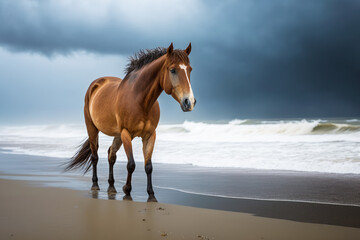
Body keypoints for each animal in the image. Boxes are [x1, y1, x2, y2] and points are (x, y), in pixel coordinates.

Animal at [66, 43, 198, 202]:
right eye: (172, 70)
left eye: (190, 69)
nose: (189, 102)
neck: (140, 100)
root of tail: (96, 84)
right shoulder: (126, 133)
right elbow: (131, 164)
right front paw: (127, 191)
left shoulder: (150, 135)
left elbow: (148, 166)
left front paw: (151, 195)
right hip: (92, 128)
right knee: (95, 156)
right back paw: (95, 185)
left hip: (116, 135)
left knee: (111, 154)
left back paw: (111, 187)